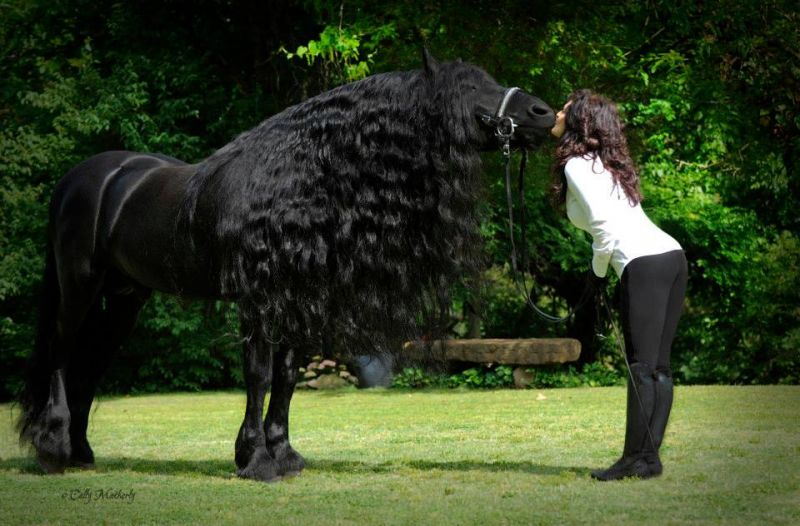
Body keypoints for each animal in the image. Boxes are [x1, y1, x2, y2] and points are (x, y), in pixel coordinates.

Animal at [20, 49, 556, 482]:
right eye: (468, 87)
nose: (543, 113)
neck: (296, 181)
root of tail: (82, 178)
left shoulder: (296, 300)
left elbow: (288, 378)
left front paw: (284, 455)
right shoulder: (257, 302)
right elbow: (258, 376)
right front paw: (255, 460)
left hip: (124, 299)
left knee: (90, 365)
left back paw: (81, 453)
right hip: (80, 287)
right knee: (62, 356)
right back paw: (52, 451)